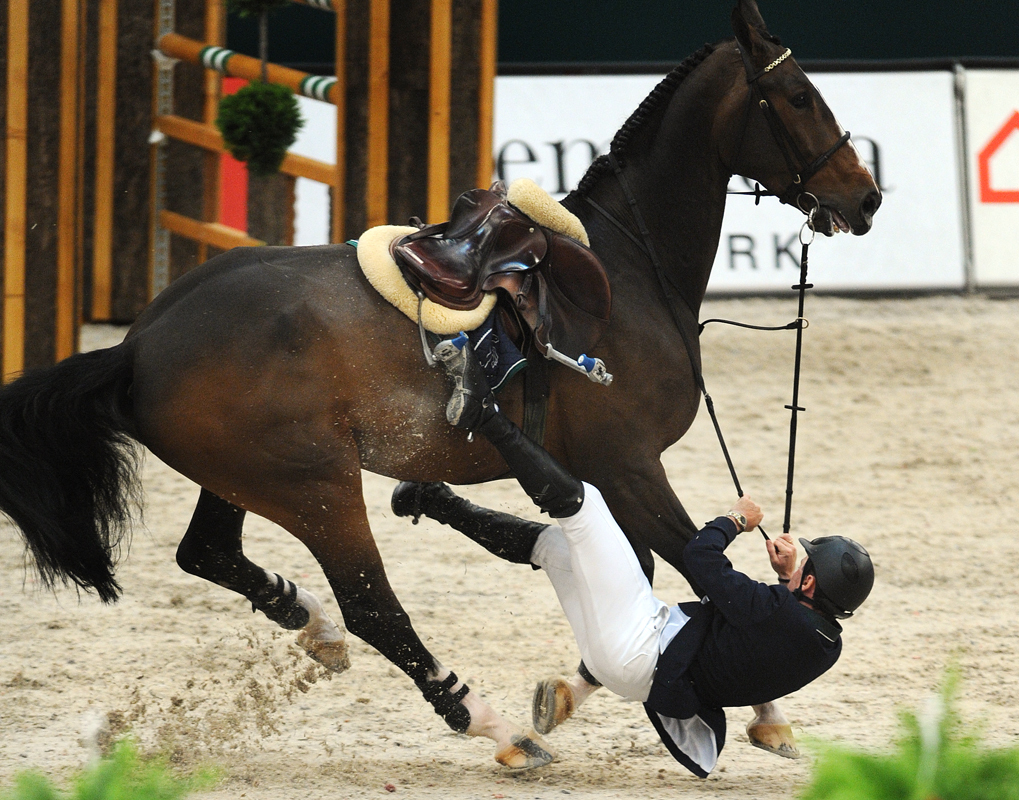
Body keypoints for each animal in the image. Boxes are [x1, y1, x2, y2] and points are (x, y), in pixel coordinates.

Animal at [0, 0, 876, 770]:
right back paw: (491, 726)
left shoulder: (606, 473)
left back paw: (314, 626)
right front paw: (765, 713)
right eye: (800, 97)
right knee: (373, 606)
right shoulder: (628, 465)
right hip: (318, 489)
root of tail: (138, 345)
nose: (863, 196)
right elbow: (690, 566)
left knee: (209, 552)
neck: (627, 268)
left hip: (246, 477)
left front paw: (573, 690)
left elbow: (650, 571)